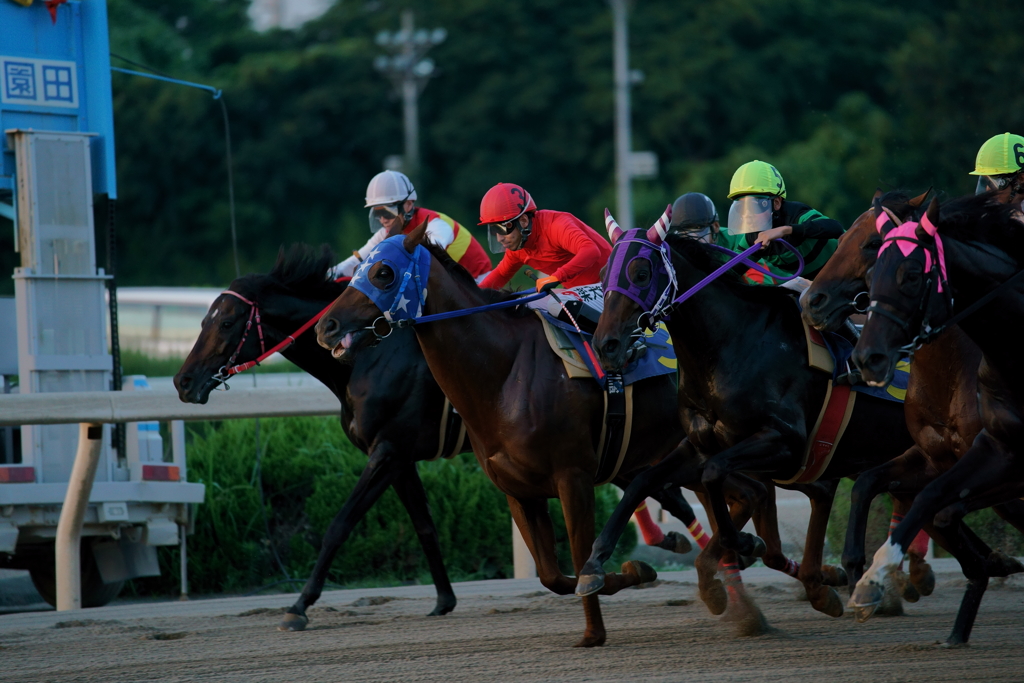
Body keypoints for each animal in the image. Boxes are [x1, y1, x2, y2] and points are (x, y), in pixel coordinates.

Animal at [313, 225, 696, 647]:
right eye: (358, 267)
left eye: (383, 272)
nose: (325, 326)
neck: (507, 372)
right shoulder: (517, 489)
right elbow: (553, 576)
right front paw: (634, 571)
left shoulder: (572, 476)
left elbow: (581, 558)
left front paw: (594, 631)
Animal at [589, 211, 917, 618]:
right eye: (603, 273)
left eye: (641, 272)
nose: (606, 345)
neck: (730, 348)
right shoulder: (699, 443)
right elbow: (642, 481)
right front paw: (594, 563)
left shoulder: (785, 441)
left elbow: (715, 475)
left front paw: (743, 544)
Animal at [851, 193, 1024, 647]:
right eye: (874, 270)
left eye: (912, 274)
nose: (867, 356)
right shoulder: (993, 448)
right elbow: (928, 496)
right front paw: (869, 578)